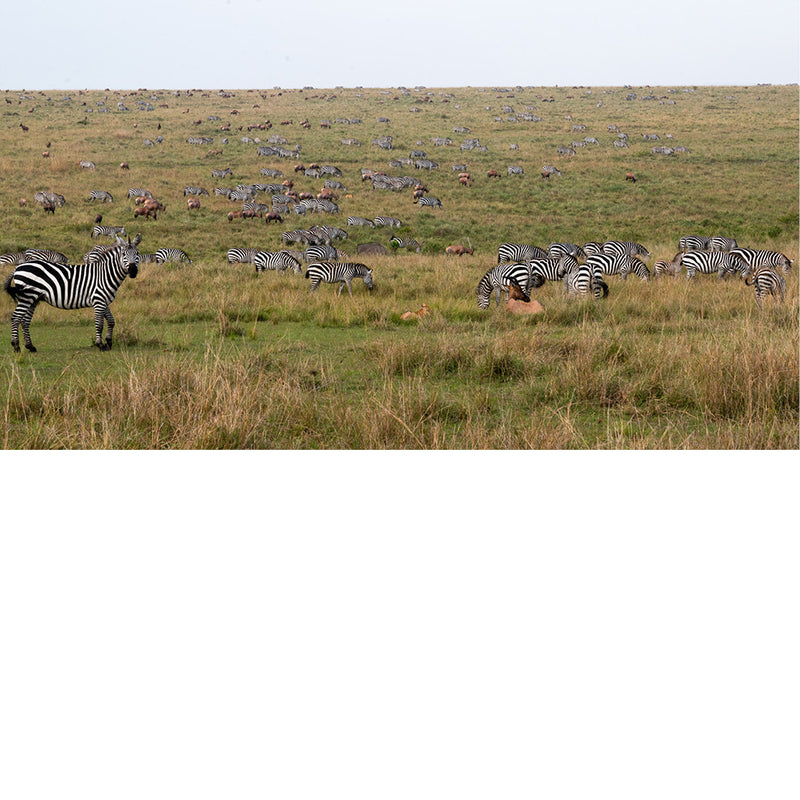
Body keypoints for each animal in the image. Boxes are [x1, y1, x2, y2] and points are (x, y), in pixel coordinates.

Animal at [3, 235, 141, 352]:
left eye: (137, 254)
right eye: (123, 254)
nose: (133, 270)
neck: (105, 274)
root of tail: (18, 267)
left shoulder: (103, 300)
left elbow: (111, 321)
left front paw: (109, 342)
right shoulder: (98, 300)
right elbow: (99, 324)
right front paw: (100, 345)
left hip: (33, 298)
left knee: (25, 321)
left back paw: (30, 346)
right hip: (27, 296)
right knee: (16, 317)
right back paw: (16, 346)